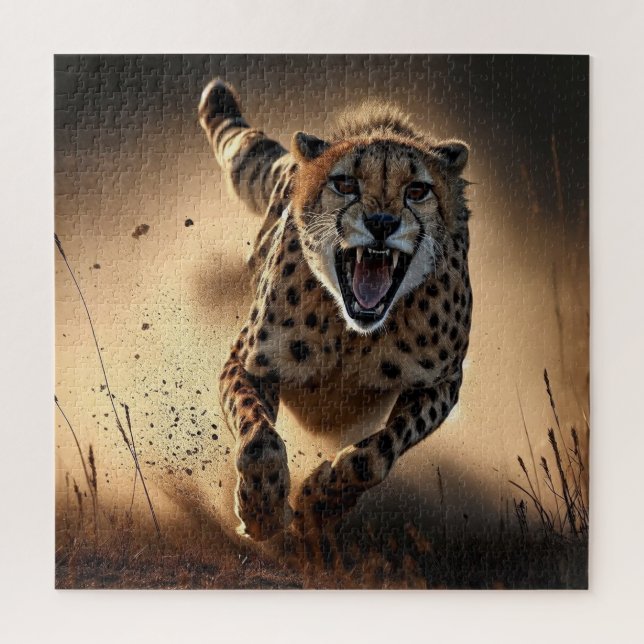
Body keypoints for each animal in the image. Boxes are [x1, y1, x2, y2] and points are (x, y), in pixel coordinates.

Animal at [198, 79, 472, 542]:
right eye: (345, 184)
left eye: (417, 191)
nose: (381, 223)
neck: (353, 332)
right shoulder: (249, 361)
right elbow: (258, 440)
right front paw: (262, 509)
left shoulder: (443, 382)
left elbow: (374, 455)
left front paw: (320, 504)